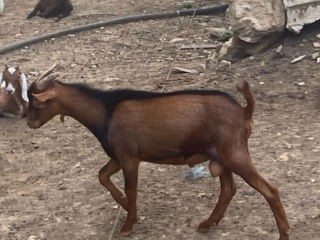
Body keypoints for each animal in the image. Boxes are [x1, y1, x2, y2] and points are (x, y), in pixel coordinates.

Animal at [25, 73, 290, 240]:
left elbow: (131, 188)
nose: (29, 123)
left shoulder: (129, 157)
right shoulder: (118, 156)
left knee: (269, 189)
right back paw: (207, 224)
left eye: (36, 104)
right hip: (221, 157)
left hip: (234, 153)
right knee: (228, 190)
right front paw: (124, 205)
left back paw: (283, 232)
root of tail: (244, 111)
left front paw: (127, 224)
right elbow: (102, 176)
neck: (105, 111)